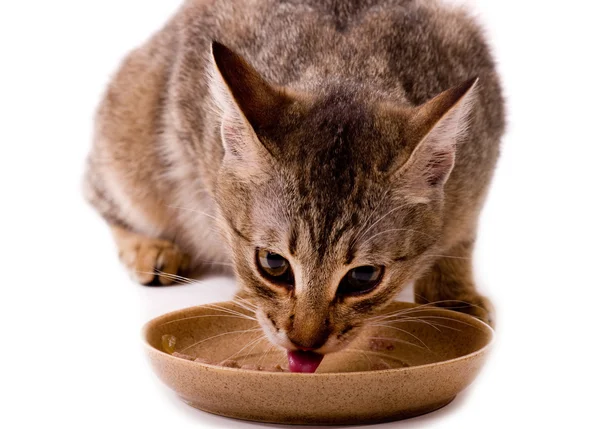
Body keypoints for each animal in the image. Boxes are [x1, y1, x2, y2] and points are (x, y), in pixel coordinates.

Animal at [84, 0, 504, 362]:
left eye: (364, 276)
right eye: (273, 263)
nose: (304, 341)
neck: (347, 67)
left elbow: (460, 240)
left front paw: (453, 294)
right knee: (99, 193)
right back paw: (149, 248)